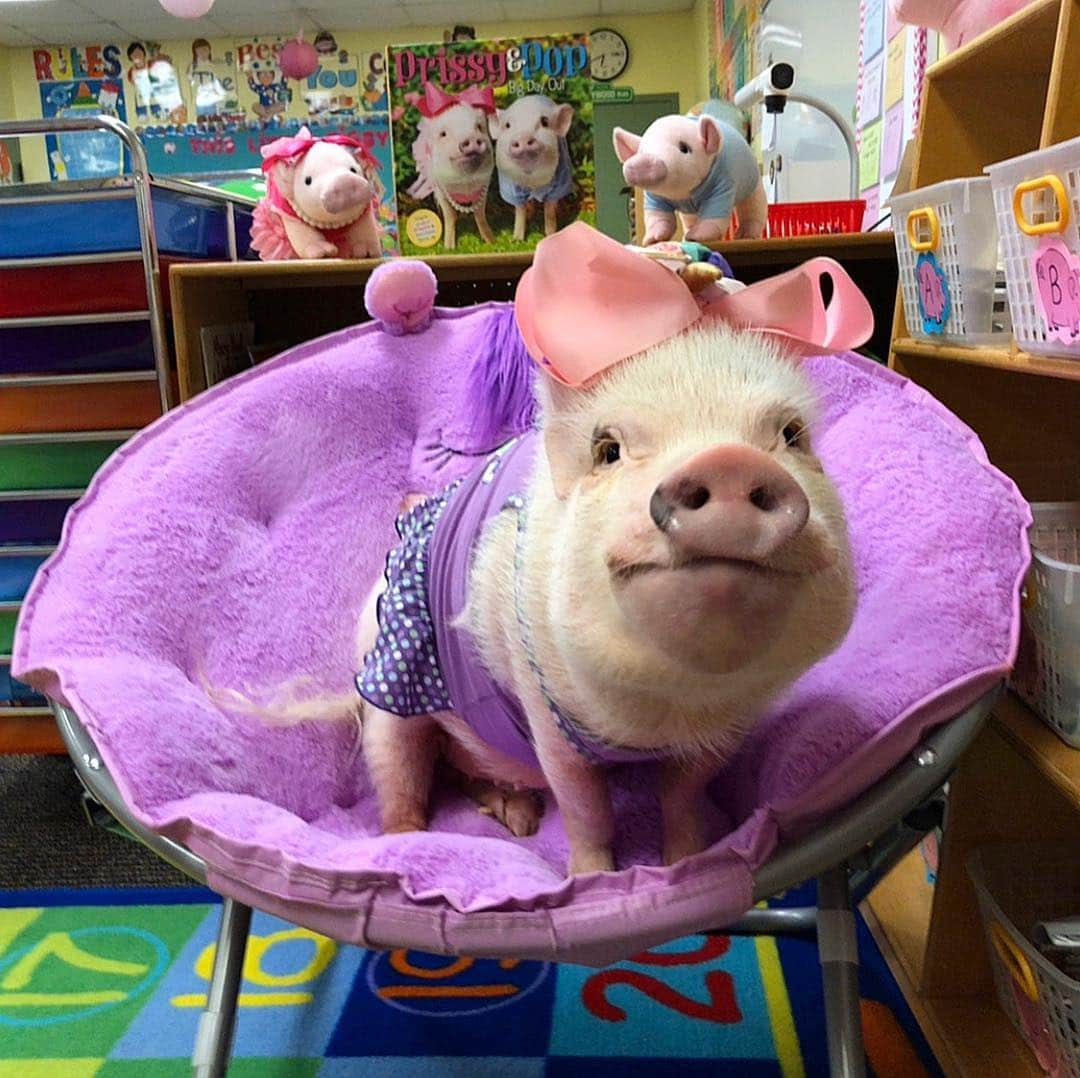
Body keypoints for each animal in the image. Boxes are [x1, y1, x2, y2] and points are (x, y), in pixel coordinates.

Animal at [386, 34, 596, 257]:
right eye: (443, 134)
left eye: (478, 127)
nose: (470, 139)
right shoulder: (443, 190)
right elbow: (451, 216)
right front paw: (451, 248)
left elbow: (544, 212)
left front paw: (495, 242)